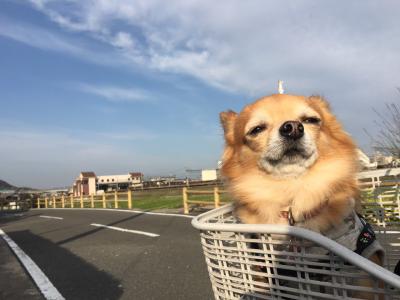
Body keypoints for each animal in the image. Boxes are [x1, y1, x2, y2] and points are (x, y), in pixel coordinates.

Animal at [220, 94, 386, 298]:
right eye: (256, 129)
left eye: (311, 120)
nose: (292, 127)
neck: (293, 192)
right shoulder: (265, 265)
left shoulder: (359, 258)